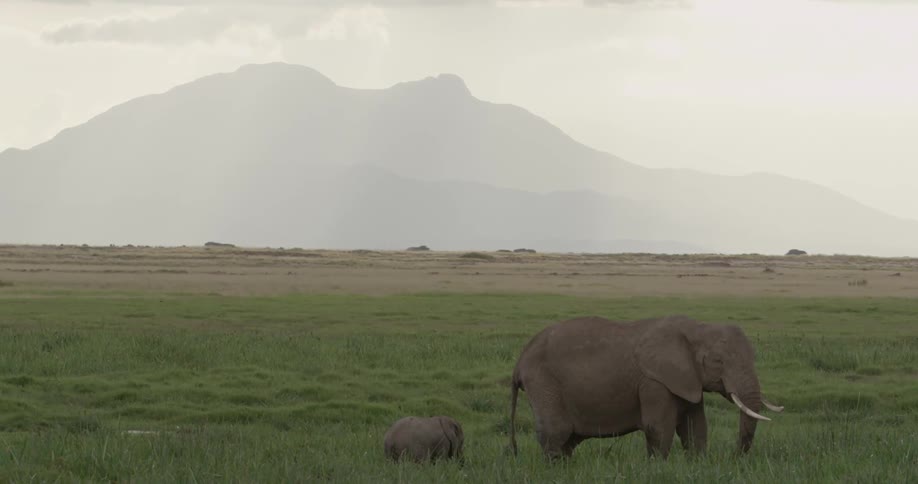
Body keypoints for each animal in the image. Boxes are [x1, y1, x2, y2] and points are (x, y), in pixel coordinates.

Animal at [508, 315, 783, 460]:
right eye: (718, 362)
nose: (735, 458)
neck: (695, 328)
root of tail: (520, 361)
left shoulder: (687, 380)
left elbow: (695, 427)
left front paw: (697, 465)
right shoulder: (654, 382)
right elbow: (658, 427)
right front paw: (658, 469)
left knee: (567, 440)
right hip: (544, 382)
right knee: (556, 433)